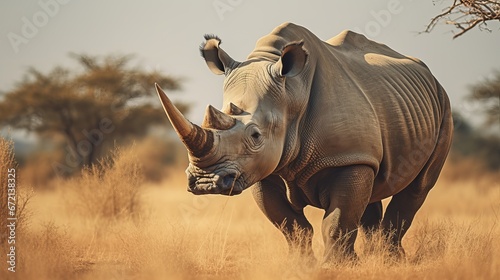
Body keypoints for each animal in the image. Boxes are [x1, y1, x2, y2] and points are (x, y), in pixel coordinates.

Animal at [155, 22, 454, 262]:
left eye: (255, 136)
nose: (204, 182)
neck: (290, 97)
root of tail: (428, 73)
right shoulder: (260, 170)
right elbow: (292, 226)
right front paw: (301, 265)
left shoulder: (347, 158)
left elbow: (336, 223)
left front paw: (338, 267)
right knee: (374, 186)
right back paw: (375, 258)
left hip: (443, 105)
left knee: (418, 187)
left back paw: (391, 260)